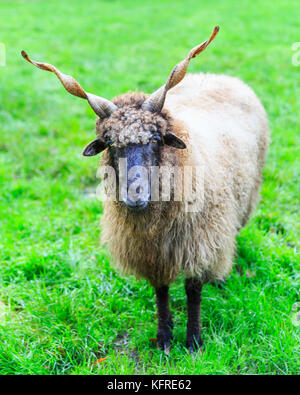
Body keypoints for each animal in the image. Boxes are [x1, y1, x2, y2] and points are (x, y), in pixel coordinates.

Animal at [21, 26, 270, 354]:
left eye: (155, 138)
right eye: (110, 143)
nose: (134, 194)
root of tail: (218, 76)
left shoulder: (198, 243)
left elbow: (193, 292)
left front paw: (193, 341)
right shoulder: (150, 253)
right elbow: (161, 291)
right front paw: (164, 337)